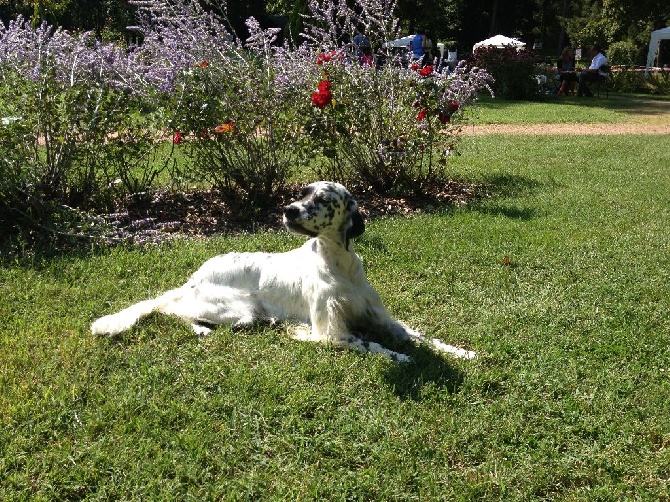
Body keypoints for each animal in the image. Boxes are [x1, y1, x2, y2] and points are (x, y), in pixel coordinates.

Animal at [92, 180, 476, 360]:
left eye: (323, 200)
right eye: (301, 192)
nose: (288, 209)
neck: (339, 265)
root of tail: (194, 278)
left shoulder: (382, 317)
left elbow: (422, 336)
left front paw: (462, 351)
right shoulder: (331, 332)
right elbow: (371, 344)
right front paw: (400, 357)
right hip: (241, 311)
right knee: (176, 311)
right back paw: (200, 328)